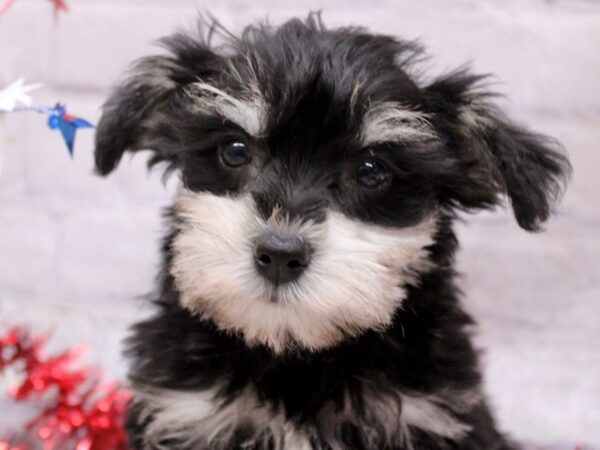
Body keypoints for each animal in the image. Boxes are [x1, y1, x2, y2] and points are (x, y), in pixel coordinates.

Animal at [95, 14, 572, 450]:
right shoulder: (184, 410)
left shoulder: (430, 412)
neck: (294, 355)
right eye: (234, 150)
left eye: (371, 171)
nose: (280, 255)